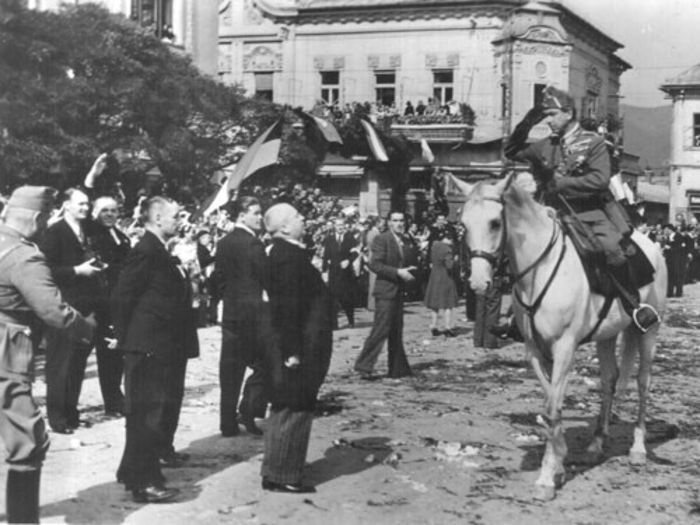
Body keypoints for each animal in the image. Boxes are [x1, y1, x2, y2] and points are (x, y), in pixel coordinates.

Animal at [454, 175, 668, 500]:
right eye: (464, 224)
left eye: (494, 223)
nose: (478, 283)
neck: (538, 270)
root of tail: (650, 244)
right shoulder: (534, 350)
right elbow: (549, 403)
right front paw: (559, 460)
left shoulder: (565, 348)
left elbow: (553, 407)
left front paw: (546, 477)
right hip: (607, 335)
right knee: (609, 380)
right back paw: (596, 442)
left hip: (648, 333)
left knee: (643, 382)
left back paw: (638, 447)